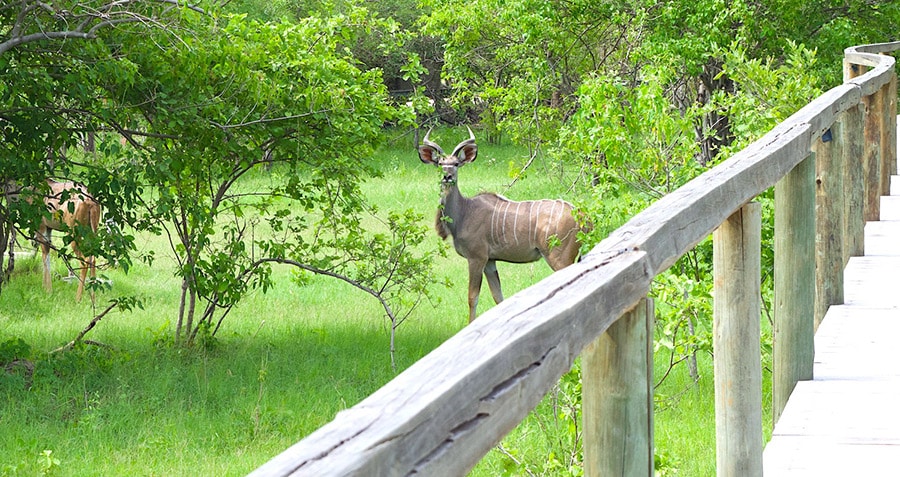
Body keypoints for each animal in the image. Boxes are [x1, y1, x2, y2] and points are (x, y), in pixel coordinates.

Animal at [420, 126, 588, 322]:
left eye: (455, 164)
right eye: (440, 163)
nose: (447, 176)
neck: (464, 211)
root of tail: (583, 216)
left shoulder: (476, 258)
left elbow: (472, 297)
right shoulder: (490, 261)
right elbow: (498, 297)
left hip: (559, 258)